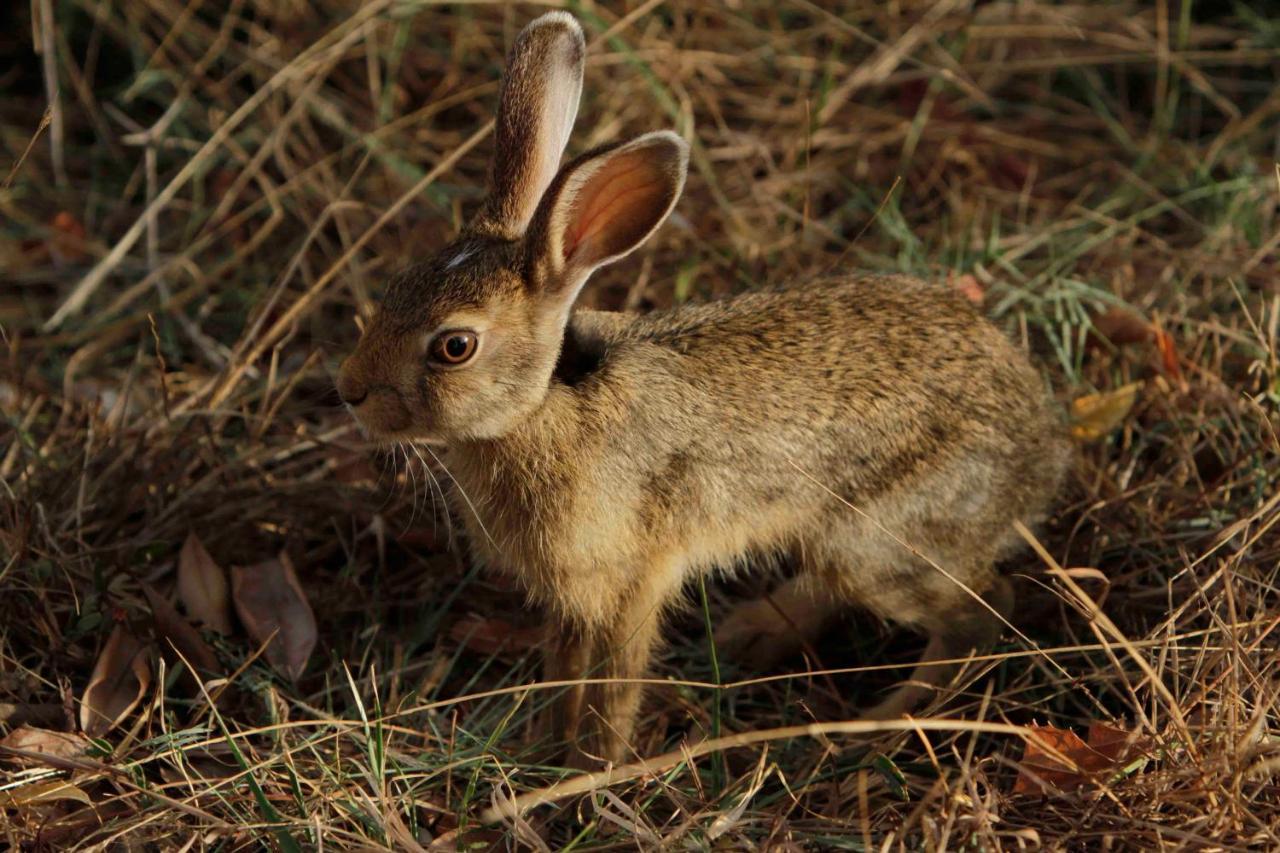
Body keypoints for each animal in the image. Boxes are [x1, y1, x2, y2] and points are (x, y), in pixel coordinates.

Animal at [337, 8, 1070, 763]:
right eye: (396, 285)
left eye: (454, 347)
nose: (350, 390)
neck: (541, 409)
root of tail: (1043, 452)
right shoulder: (572, 597)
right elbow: (563, 668)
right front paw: (548, 751)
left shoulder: (634, 580)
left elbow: (614, 682)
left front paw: (595, 766)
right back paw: (756, 632)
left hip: (885, 543)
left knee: (982, 615)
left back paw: (877, 727)